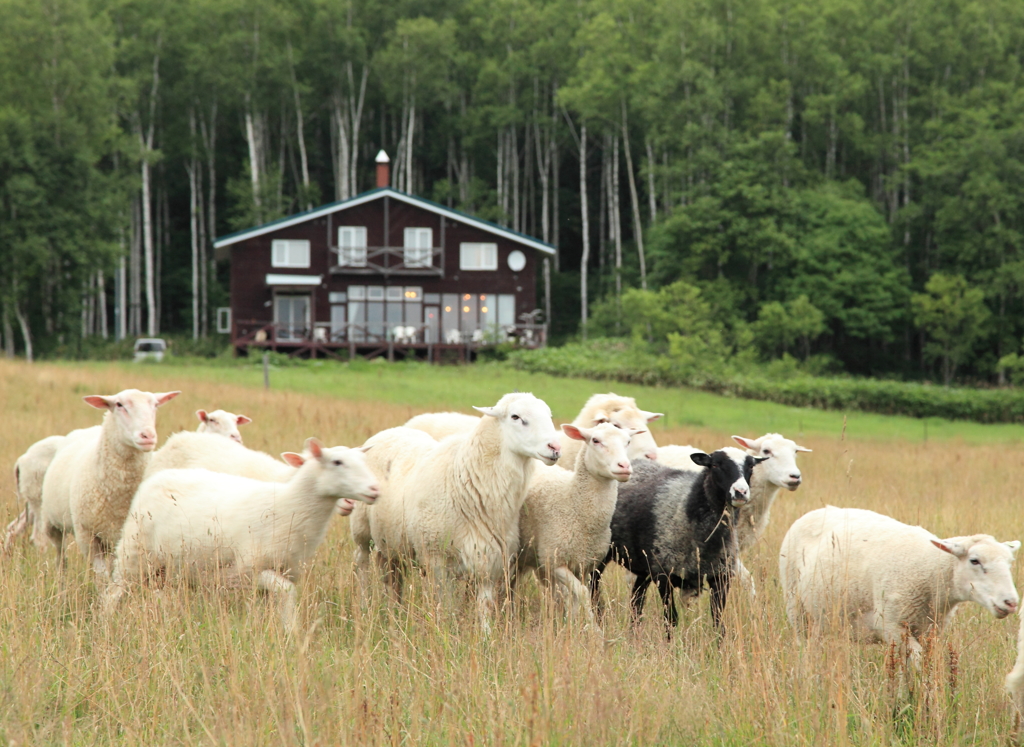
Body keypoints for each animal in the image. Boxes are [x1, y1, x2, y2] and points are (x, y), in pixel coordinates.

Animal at [39, 387, 180, 573]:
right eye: (119, 404)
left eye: (155, 405)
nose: (148, 436)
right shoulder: (87, 535)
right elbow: (102, 574)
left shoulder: (120, 535)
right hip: (53, 523)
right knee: (60, 556)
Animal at [100, 436, 380, 623]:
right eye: (337, 462)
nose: (375, 489)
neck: (290, 505)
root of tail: (156, 479)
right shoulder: (247, 571)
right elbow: (288, 594)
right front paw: (292, 631)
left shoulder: (285, 570)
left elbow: (278, 601)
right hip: (133, 554)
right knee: (112, 593)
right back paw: (107, 624)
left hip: (167, 568)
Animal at [350, 391, 561, 631]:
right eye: (516, 417)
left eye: (548, 415)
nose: (555, 448)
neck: (465, 479)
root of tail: (389, 432)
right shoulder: (437, 561)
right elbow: (446, 608)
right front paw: (445, 631)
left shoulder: (489, 560)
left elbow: (484, 606)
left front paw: (486, 634)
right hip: (362, 530)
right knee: (361, 563)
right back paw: (364, 605)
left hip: (393, 540)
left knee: (391, 575)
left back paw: (394, 611)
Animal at [516, 420, 634, 623]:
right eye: (595, 440)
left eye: (627, 441)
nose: (624, 466)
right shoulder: (555, 561)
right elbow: (583, 593)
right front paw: (593, 627)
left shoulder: (584, 565)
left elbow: (575, 597)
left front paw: (573, 623)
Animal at [782, 506, 1015, 659]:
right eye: (975, 561)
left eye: (1010, 562)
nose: (1011, 602)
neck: (930, 571)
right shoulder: (891, 624)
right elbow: (917, 660)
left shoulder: (930, 631)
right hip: (797, 610)